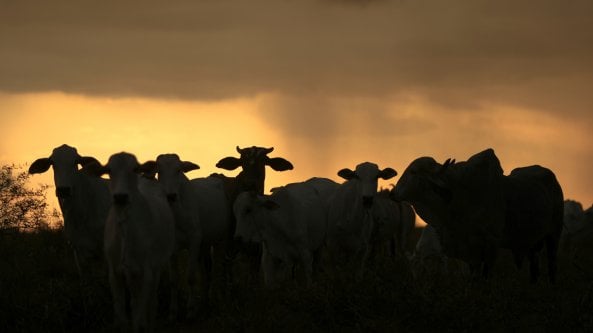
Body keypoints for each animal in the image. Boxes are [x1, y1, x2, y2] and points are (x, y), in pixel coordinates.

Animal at [84, 152, 175, 330]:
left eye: (134, 169)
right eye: (109, 170)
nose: (120, 197)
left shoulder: (146, 271)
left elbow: (139, 315)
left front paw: (143, 324)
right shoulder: (114, 273)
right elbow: (122, 314)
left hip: (157, 267)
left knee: (150, 301)